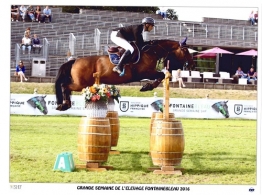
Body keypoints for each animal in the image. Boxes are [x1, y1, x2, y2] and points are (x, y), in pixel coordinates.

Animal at [54, 38, 194, 111]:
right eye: (185, 50)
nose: (191, 64)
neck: (150, 52)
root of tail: (74, 61)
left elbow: (161, 76)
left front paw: (147, 86)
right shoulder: (144, 73)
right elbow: (160, 75)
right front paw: (146, 87)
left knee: (65, 86)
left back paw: (64, 105)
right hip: (81, 84)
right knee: (64, 86)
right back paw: (64, 104)